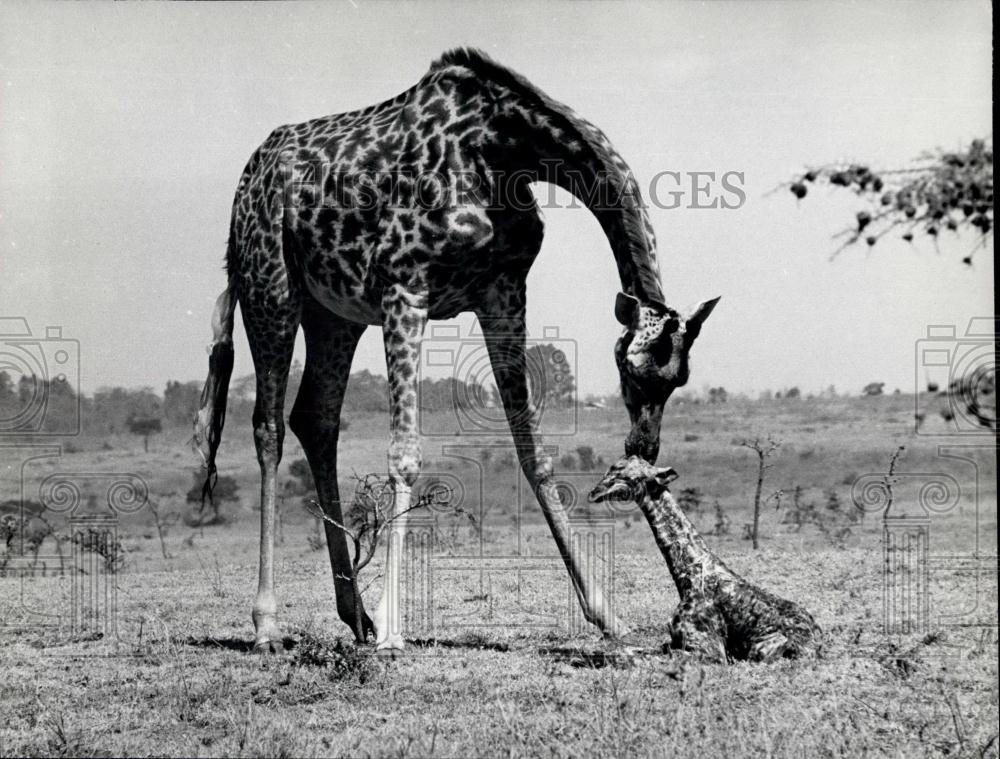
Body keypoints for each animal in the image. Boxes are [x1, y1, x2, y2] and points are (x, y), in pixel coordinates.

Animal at [191, 47, 720, 652]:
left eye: (678, 380)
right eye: (628, 370)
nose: (644, 447)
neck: (502, 149)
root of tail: (247, 180)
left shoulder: (503, 290)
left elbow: (532, 449)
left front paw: (607, 615)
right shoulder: (404, 286)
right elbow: (403, 455)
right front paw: (394, 629)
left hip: (335, 315)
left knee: (315, 418)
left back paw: (355, 618)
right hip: (270, 286)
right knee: (268, 426)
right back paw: (269, 626)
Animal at [588, 454, 816, 664]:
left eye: (630, 477)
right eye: (611, 468)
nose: (593, 493)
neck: (688, 575)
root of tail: (816, 645)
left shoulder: (711, 652)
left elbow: (630, 657)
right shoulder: (673, 642)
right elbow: (633, 650)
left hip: (760, 651)